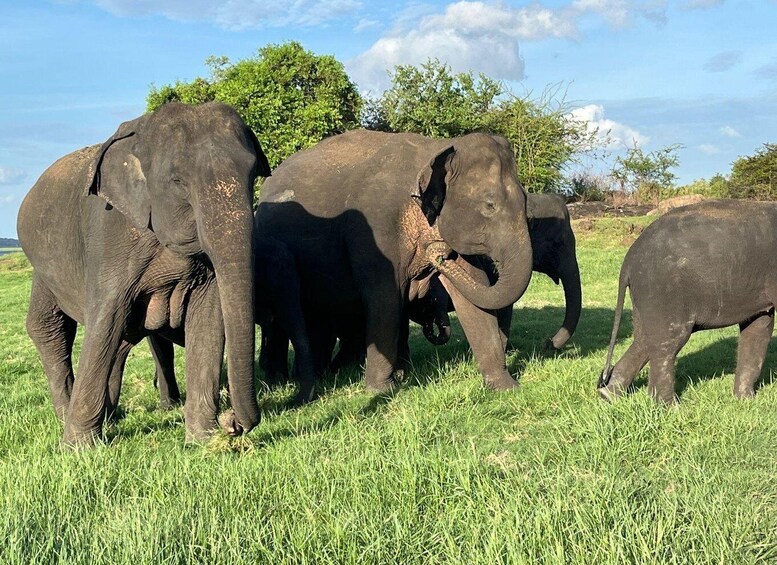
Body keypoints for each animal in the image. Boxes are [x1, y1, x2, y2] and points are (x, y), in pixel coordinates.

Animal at [17, 102, 271, 445]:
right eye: (178, 181)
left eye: (253, 173)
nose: (231, 424)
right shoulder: (111, 235)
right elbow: (105, 319)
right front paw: (78, 448)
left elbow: (208, 316)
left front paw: (203, 440)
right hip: (42, 268)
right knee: (49, 327)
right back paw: (68, 414)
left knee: (122, 338)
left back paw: (111, 415)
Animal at [253, 129, 535, 399]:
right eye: (490, 205)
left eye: (526, 200)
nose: (439, 254)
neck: (435, 148)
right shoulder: (376, 228)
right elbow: (385, 297)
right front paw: (381, 390)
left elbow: (476, 294)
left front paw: (506, 387)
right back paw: (282, 379)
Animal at [598, 199, 777, 404]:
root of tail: (628, 262)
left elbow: (759, 326)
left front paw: (745, 402)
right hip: (663, 290)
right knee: (668, 341)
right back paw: (669, 406)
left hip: (646, 294)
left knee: (644, 340)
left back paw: (608, 396)